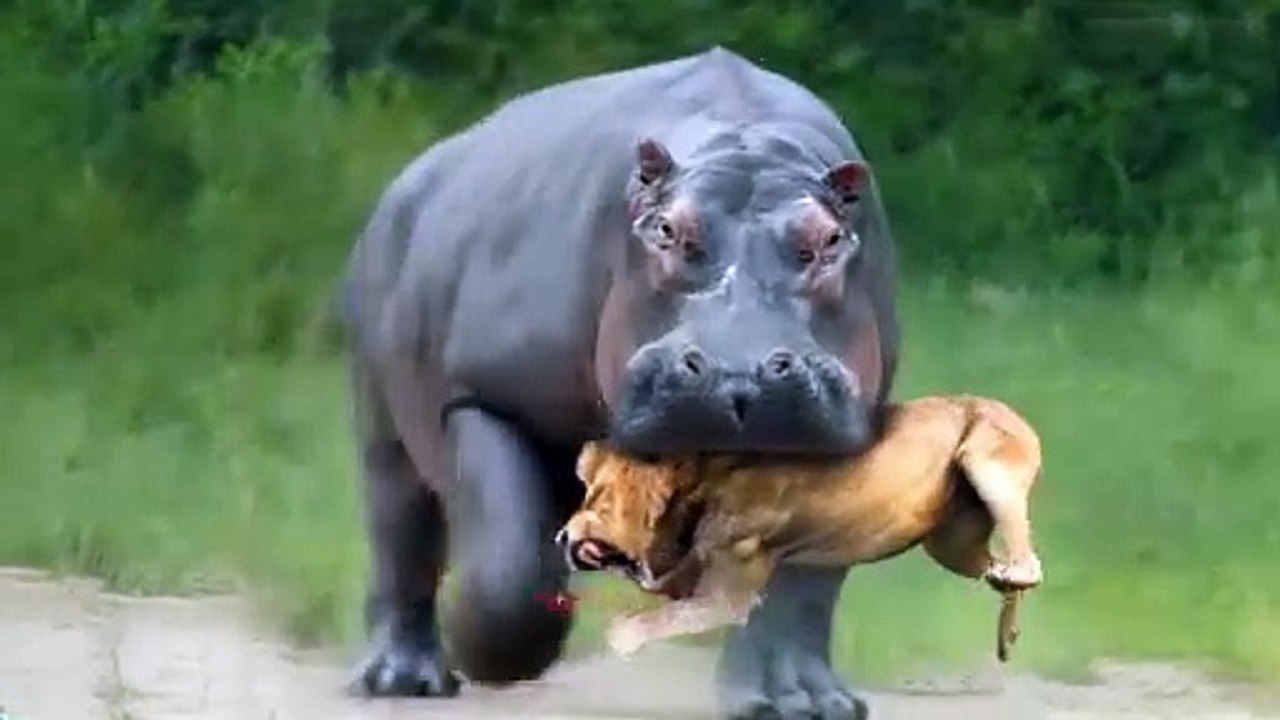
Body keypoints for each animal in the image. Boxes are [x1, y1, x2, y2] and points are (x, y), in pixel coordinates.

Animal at [340, 47, 900, 719]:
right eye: (666, 231)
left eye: (829, 239)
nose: (739, 372)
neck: (747, 145)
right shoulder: (481, 395)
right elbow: (508, 568)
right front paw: (489, 657)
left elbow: (801, 589)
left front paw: (802, 704)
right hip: (382, 421)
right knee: (401, 531)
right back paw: (402, 681)